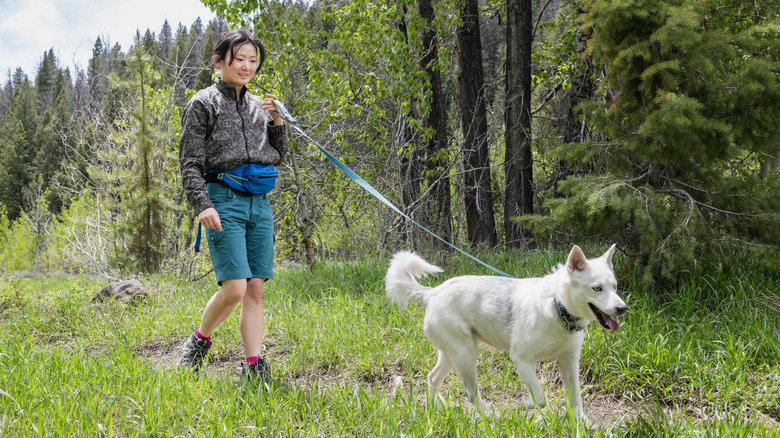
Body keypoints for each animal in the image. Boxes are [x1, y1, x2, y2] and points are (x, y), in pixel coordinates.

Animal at [384, 245, 628, 416]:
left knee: (433, 377)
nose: (622, 309)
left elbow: (575, 399)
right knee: (470, 392)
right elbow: (539, 398)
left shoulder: (569, 361)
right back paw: (490, 415)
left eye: (614, 286)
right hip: (466, 355)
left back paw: (433, 408)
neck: (557, 305)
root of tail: (432, 292)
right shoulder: (522, 360)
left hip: (452, 355)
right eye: (596, 288)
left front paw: (580, 424)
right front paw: (520, 405)